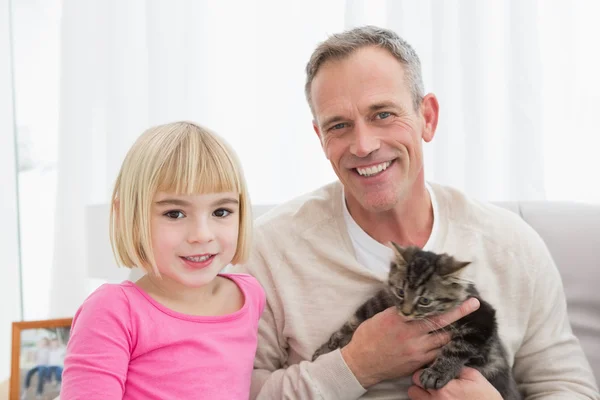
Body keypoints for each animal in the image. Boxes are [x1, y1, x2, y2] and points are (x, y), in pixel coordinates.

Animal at [314, 244, 520, 400]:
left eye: (425, 301)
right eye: (401, 292)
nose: (406, 312)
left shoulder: (482, 316)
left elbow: (457, 347)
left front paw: (436, 373)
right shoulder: (382, 300)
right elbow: (354, 320)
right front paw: (327, 348)